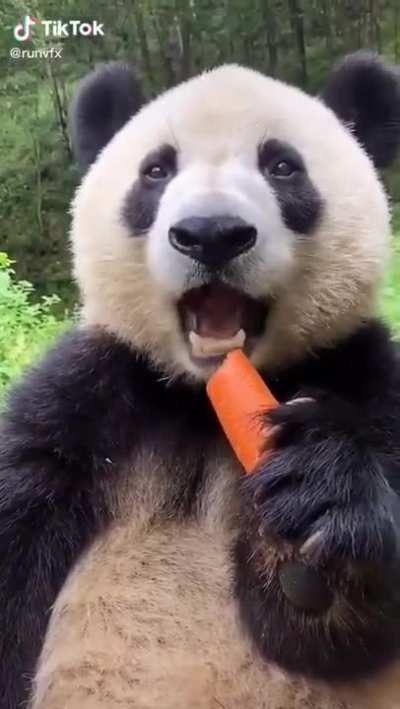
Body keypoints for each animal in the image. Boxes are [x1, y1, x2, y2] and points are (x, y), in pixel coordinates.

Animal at [2, 51, 400, 709]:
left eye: (282, 166)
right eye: (157, 170)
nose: (212, 233)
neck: (202, 401)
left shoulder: (361, 370)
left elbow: (331, 631)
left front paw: (319, 505)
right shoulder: (86, 399)